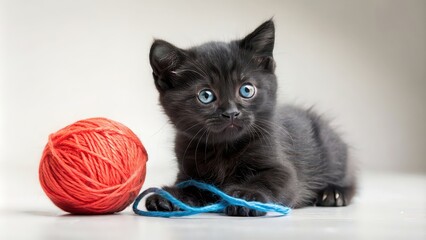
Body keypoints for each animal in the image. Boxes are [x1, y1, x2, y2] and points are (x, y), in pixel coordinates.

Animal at [146, 19, 356, 217]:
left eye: (246, 90)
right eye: (205, 96)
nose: (231, 112)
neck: (223, 149)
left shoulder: (284, 169)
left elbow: (268, 180)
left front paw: (246, 197)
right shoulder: (188, 171)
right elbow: (191, 188)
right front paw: (167, 198)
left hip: (332, 149)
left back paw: (333, 193)